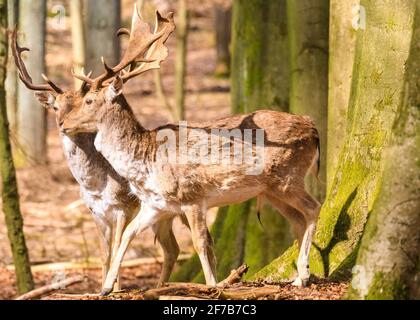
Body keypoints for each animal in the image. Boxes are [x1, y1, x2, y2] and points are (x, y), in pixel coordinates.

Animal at [62, 6, 324, 296]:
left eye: (89, 100)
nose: (62, 123)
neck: (146, 161)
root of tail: (313, 127)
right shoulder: (156, 204)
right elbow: (129, 233)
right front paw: (106, 287)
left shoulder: (192, 197)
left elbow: (201, 243)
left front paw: (213, 286)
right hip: (271, 190)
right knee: (297, 219)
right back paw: (299, 276)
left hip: (287, 178)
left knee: (313, 208)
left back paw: (303, 273)